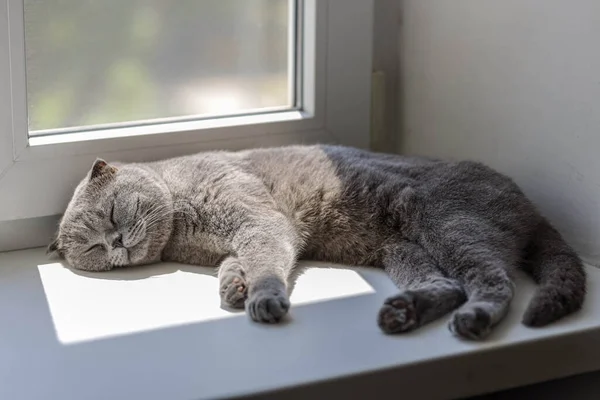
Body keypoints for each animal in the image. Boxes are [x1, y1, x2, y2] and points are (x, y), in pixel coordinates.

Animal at [48, 145, 584, 340]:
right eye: (95, 250)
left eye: (113, 215)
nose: (116, 242)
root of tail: (529, 204)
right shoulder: (236, 243)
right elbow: (236, 265)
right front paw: (233, 289)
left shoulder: (261, 224)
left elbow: (267, 263)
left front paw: (262, 298)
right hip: (405, 250)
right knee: (448, 285)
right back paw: (402, 313)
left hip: (448, 224)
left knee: (494, 282)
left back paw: (473, 319)